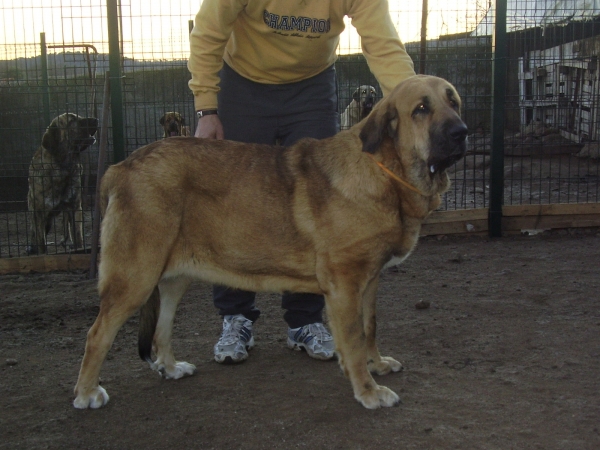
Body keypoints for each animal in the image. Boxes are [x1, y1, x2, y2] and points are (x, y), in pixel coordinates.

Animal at [74, 74, 468, 412]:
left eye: (454, 102)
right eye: (421, 108)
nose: (461, 132)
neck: (386, 169)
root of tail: (119, 167)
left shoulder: (369, 280)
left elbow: (370, 326)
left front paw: (378, 364)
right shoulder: (344, 284)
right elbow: (354, 339)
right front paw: (368, 390)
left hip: (173, 279)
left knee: (161, 329)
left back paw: (171, 369)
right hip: (135, 278)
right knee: (97, 334)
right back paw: (87, 392)